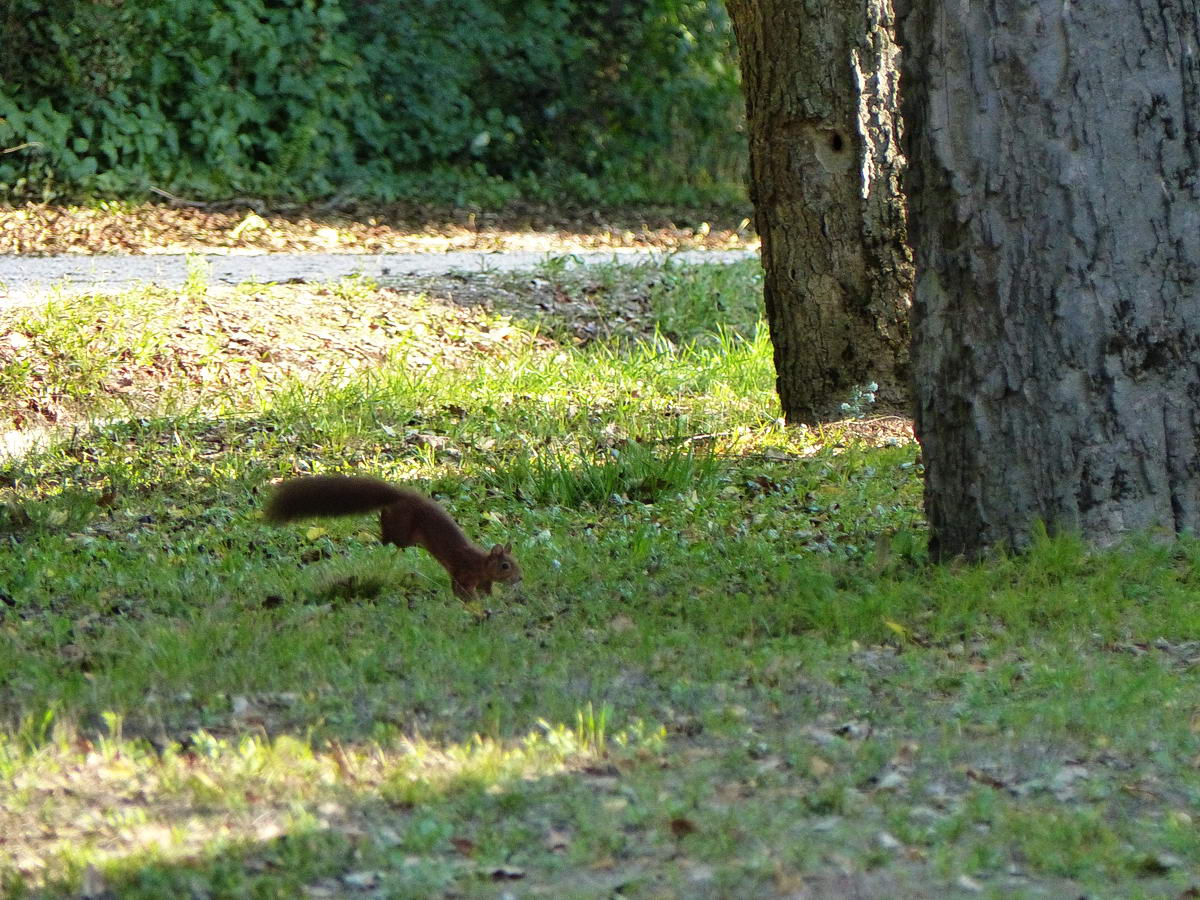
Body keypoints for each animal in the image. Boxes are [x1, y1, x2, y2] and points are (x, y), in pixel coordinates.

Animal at [265, 475, 518, 602]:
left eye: (517, 565)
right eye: (505, 566)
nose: (520, 579)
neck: (481, 563)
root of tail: (400, 495)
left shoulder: (483, 580)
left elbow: (487, 590)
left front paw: (493, 599)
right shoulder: (462, 571)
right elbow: (459, 589)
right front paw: (470, 602)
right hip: (403, 531)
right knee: (389, 534)